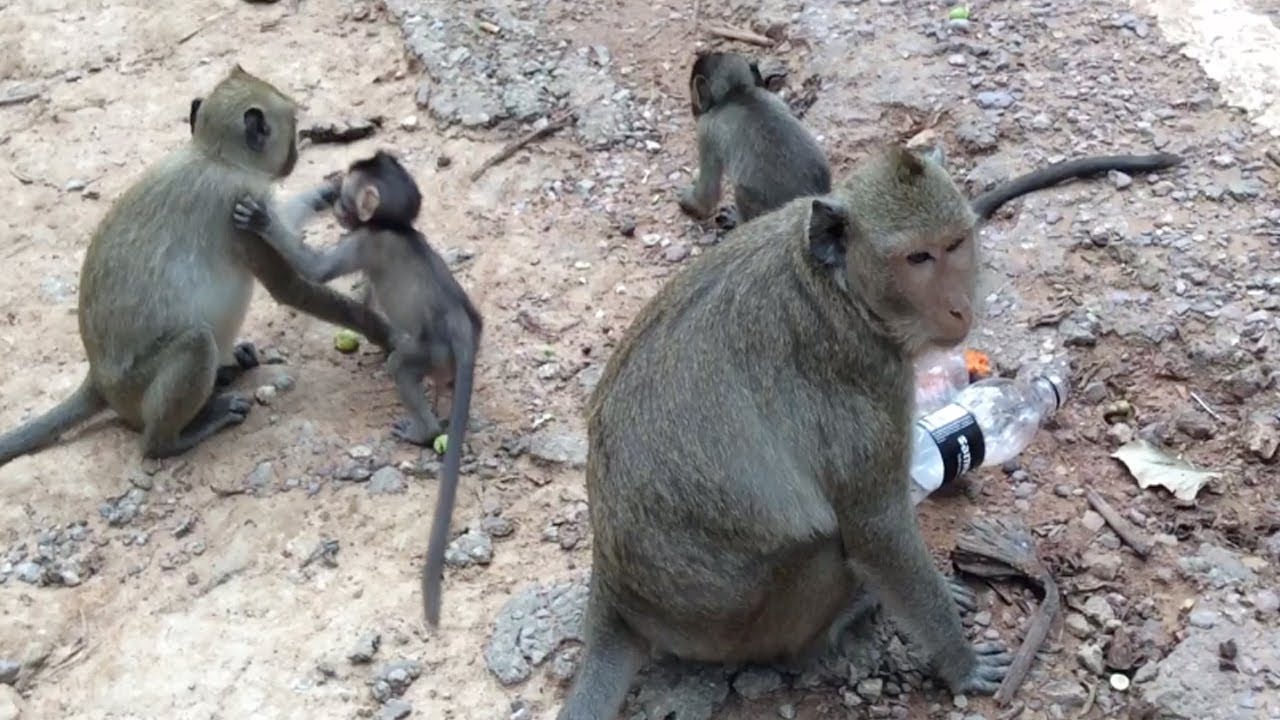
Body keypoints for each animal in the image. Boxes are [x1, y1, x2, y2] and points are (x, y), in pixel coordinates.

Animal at [0, 65, 392, 467]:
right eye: (293, 125)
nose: (295, 156)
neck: (215, 156)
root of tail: (98, 379)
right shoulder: (235, 204)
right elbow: (292, 288)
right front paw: (387, 334)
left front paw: (326, 193)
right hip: (136, 386)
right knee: (195, 346)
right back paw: (172, 439)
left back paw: (230, 366)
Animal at [231, 149, 482, 628]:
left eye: (347, 198)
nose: (333, 197)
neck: (395, 227)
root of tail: (462, 328)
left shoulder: (366, 242)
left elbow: (318, 270)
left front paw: (263, 221)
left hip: (429, 349)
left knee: (402, 363)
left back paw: (423, 430)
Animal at [558, 145, 1016, 719]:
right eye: (917, 259)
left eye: (954, 245)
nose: (960, 306)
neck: (839, 287)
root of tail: (616, 593)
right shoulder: (865, 375)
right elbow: (878, 531)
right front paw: (962, 662)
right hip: (740, 627)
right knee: (819, 549)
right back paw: (844, 620)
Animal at [677, 51, 832, 226]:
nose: (693, 109)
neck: (737, 95)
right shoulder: (769, 96)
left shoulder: (706, 130)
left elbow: (706, 197)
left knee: (740, 192)